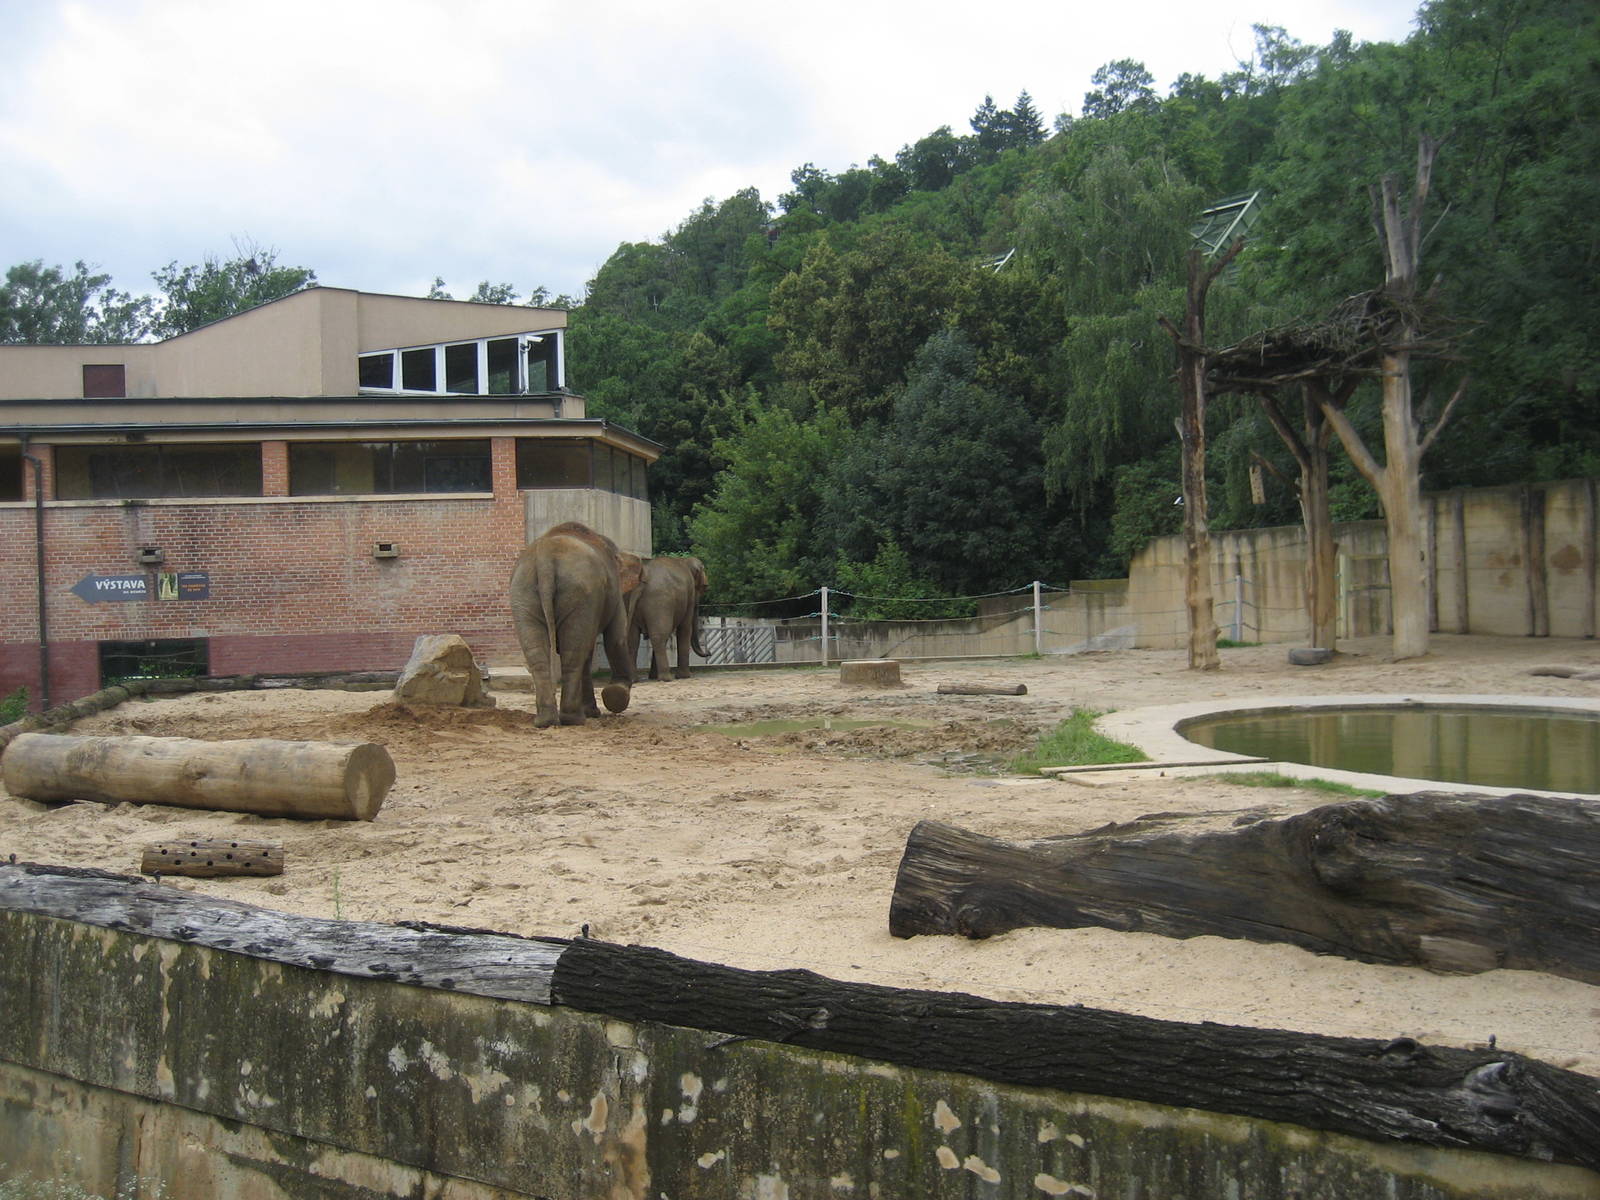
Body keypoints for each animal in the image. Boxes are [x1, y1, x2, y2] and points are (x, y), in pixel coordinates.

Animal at [509, 522, 641, 727]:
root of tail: (545, 558)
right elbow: (615, 638)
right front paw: (611, 699)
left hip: (523, 593)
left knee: (538, 654)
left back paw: (545, 720)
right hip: (580, 593)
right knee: (574, 653)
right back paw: (574, 719)